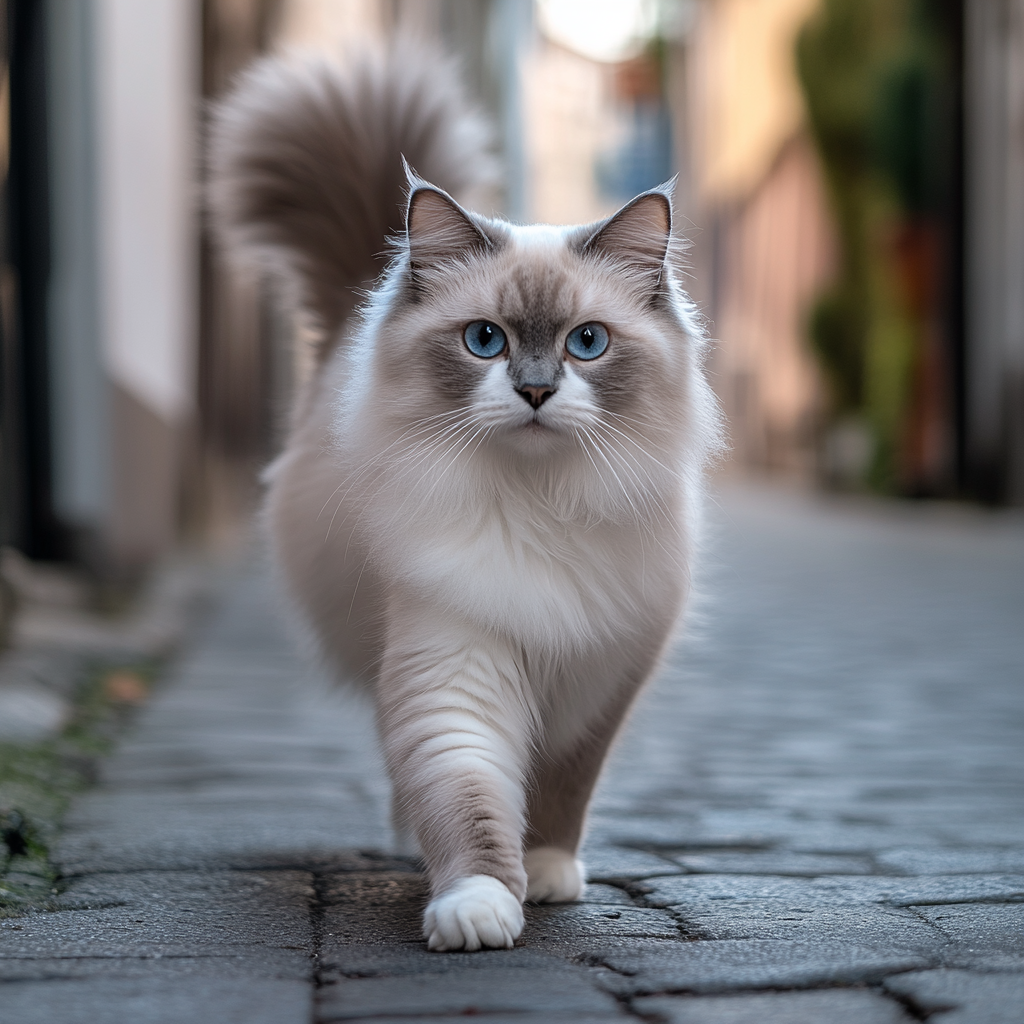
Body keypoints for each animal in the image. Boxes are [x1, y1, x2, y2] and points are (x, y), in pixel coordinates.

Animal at [207, 39, 720, 950]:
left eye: (587, 344)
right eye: (486, 341)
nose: (536, 392)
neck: (541, 502)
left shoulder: (601, 676)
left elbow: (562, 789)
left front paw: (546, 874)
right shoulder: (453, 661)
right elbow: (469, 797)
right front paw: (477, 908)